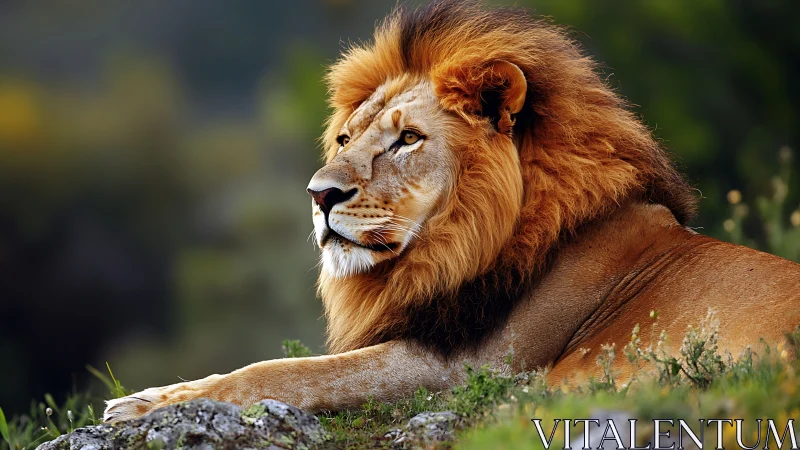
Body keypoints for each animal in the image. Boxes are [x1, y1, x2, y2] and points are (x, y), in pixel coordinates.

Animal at [104, 0, 800, 422]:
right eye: (344, 139)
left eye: (407, 139)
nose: (319, 194)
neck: (459, 246)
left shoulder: (466, 370)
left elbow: (285, 373)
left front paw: (144, 404)